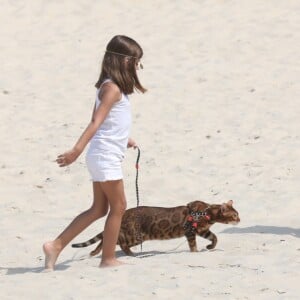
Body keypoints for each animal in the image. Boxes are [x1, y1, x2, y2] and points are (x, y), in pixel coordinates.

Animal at [71, 199, 240, 255]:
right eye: (234, 215)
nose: (240, 220)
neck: (206, 213)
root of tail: (124, 213)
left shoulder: (203, 231)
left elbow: (215, 238)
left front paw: (210, 247)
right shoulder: (190, 231)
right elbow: (193, 245)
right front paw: (195, 252)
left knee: (107, 238)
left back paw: (94, 252)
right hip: (135, 235)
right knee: (119, 242)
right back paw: (130, 254)